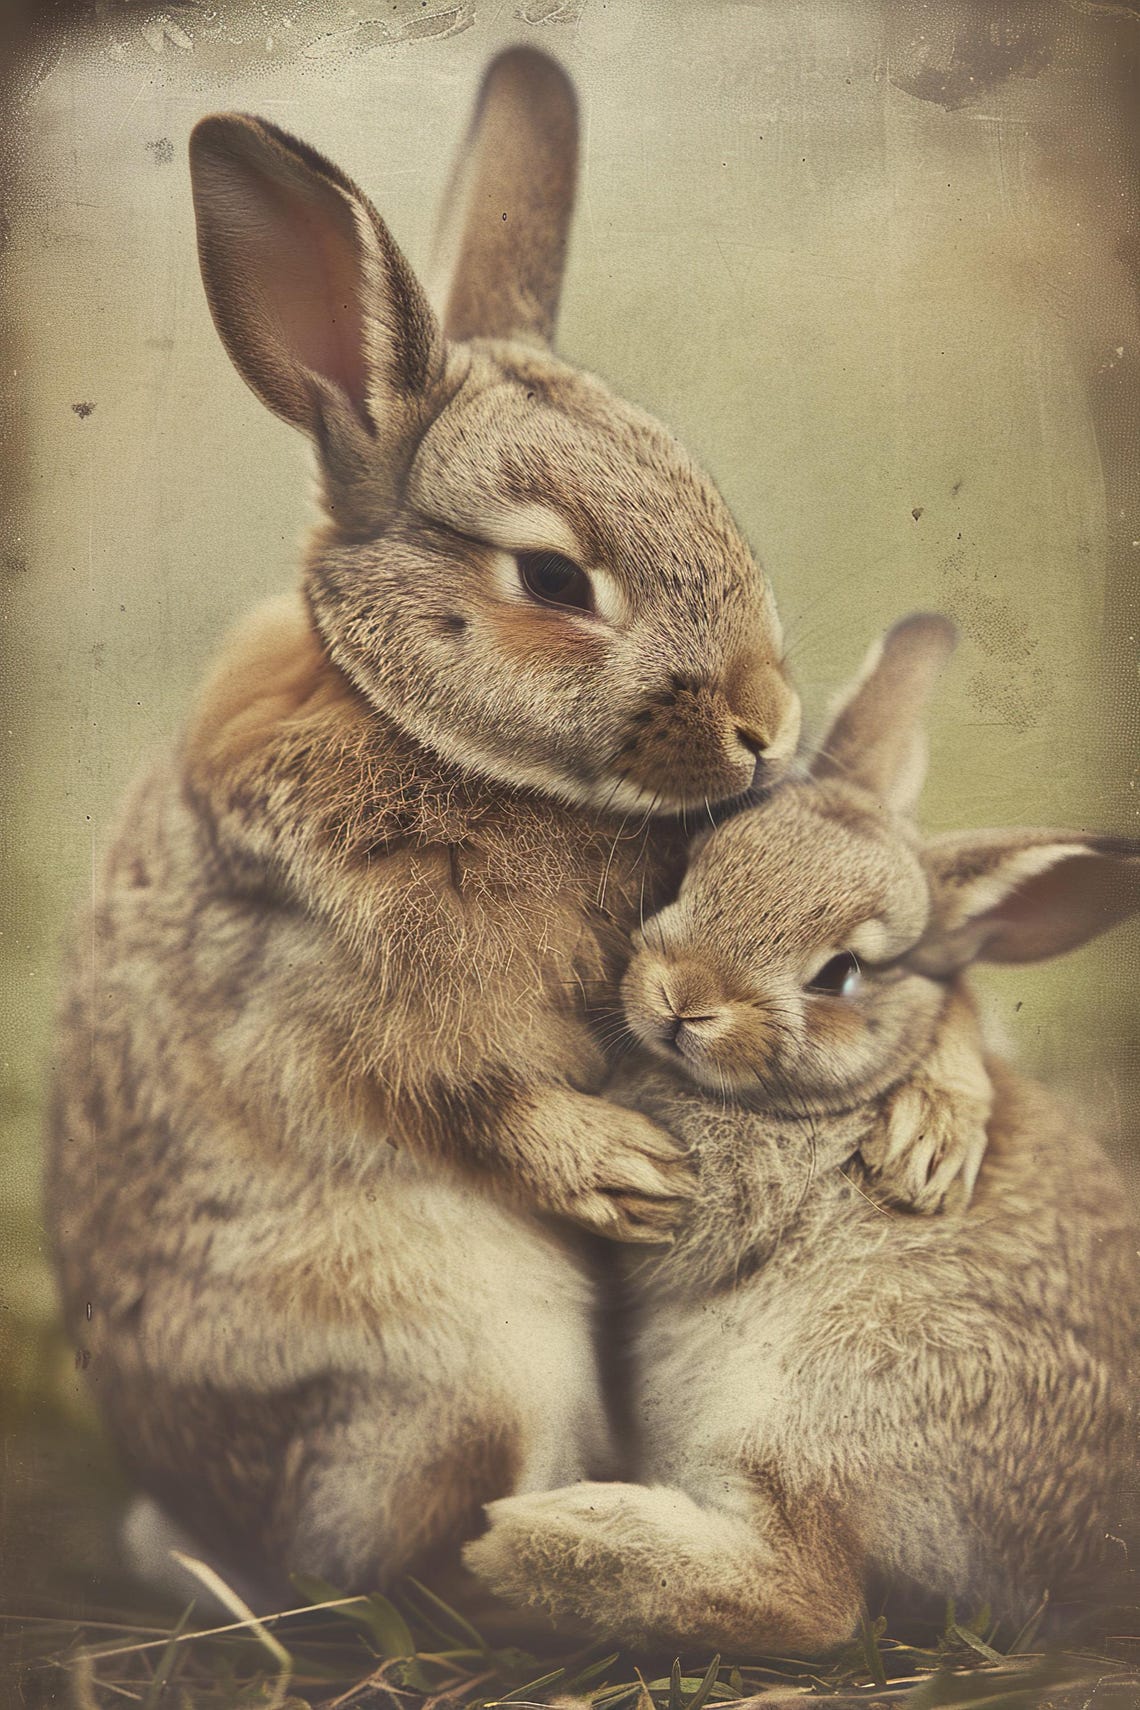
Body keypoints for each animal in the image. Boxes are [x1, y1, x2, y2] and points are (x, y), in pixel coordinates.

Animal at [466, 613, 1140, 1654]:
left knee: (814, 1595)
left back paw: (538, 1546)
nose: (683, 999)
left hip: (816, 1403)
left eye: (840, 974)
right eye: (694, 872)